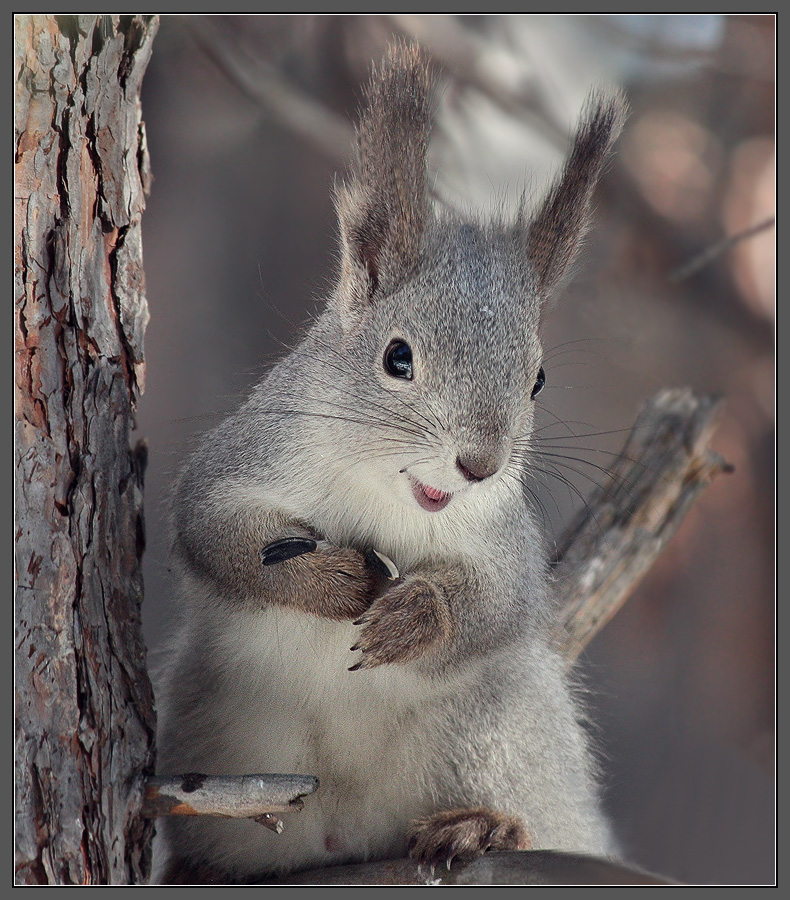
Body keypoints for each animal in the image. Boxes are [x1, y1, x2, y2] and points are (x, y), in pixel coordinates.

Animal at [155, 44, 632, 884]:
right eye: (397, 358)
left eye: (537, 379)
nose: (479, 464)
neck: (387, 492)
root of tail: (345, 837)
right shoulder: (240, 459)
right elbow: (212, 533)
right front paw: (327, 580)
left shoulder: (504, 543)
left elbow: (499, 603)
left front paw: (416, 616)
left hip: (503, 731)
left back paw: (482, 827)